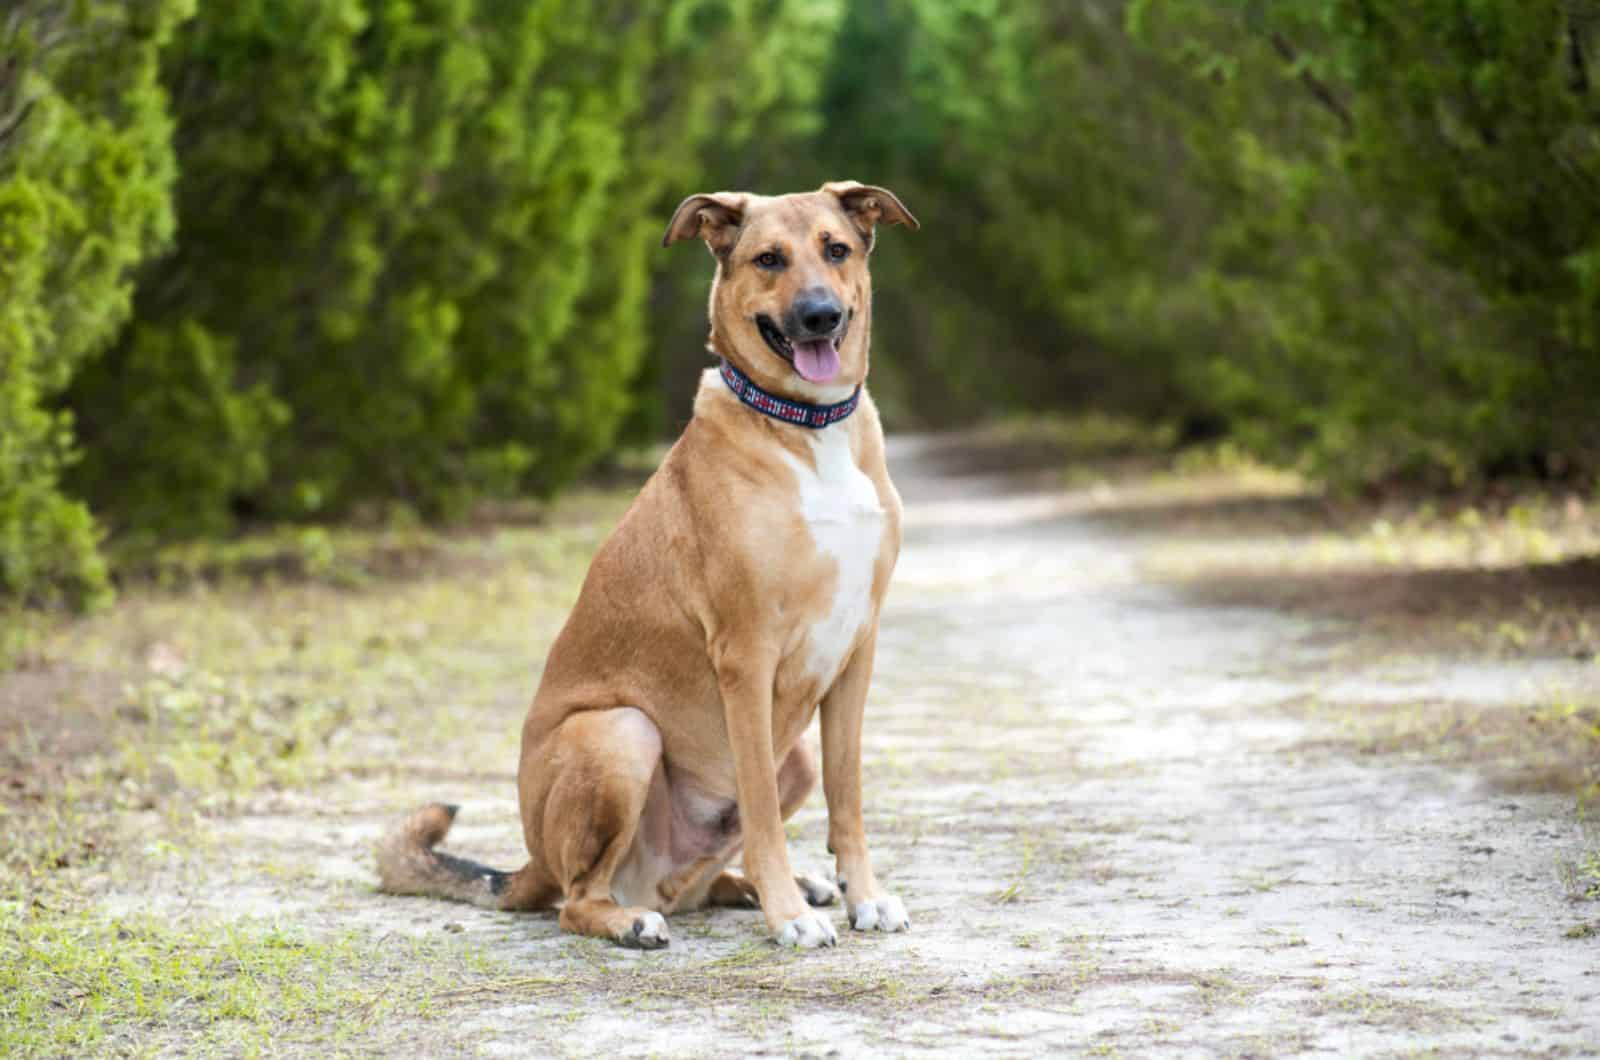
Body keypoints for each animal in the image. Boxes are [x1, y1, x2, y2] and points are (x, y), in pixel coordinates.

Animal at [374, 178, 921, 947]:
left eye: (836, 250)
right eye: (769, 259)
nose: (820, 316)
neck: (808, 429)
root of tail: (532, 859)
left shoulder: (856, 653)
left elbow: (849, 800)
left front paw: (860, 895)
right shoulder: (746, 657)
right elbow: (758, 809)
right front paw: (788, 916)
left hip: (793, 759)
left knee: (694, 884)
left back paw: (771, 887)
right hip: (623, 734)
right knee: (577, 899)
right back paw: (639, 919)